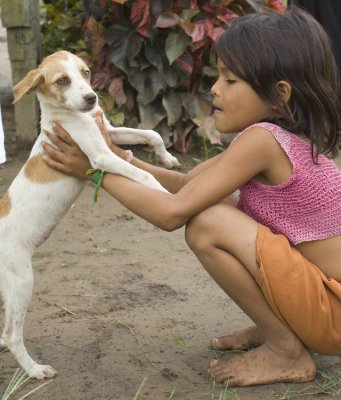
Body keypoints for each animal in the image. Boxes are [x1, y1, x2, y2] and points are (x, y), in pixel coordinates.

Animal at [0, 51, 179, 380]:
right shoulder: (101, 156)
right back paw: (35, 370)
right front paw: (168, 196)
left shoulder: (109, 132)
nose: (92, 97)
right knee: (11, 334)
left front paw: (167, 158)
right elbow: (145, 177)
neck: (71, 115)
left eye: (85, 72)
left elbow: (151, 133)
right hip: (21, 280)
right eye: (62, 80)